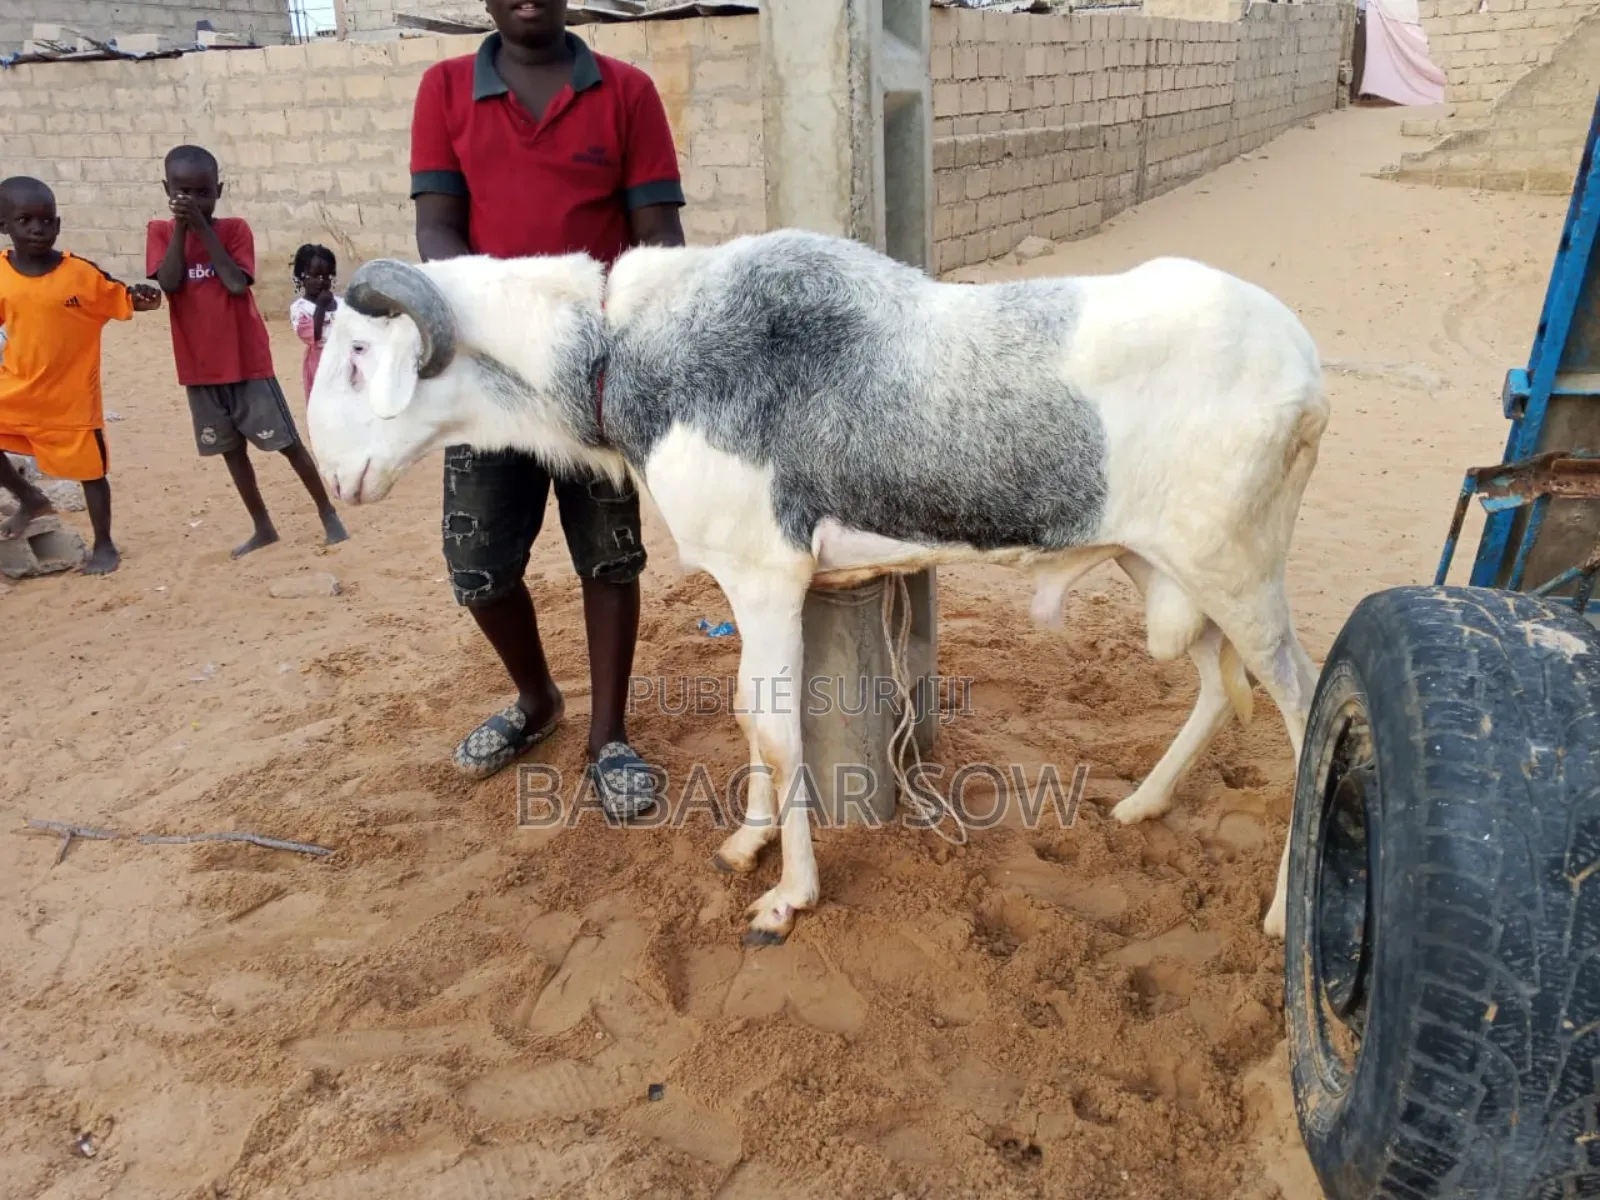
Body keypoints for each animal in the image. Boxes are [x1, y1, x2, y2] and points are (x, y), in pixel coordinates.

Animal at [305, 228, 1327, 947]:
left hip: (1236, 567)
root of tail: (1307, 372)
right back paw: (1141, 804)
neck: (621, 345)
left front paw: (787, 895)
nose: (336, 471)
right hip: (1163, 563)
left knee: (1300, 705)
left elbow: (776, 727)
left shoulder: (766, 575)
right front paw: (747, 842)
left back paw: (1284, 912)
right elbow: (747, 714)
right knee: (1214, 684)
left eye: (356, 353)